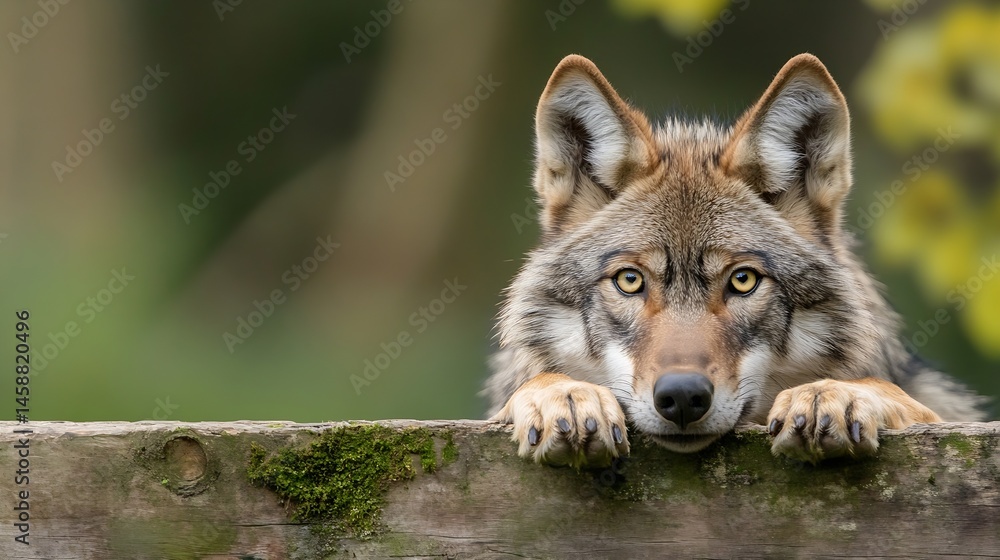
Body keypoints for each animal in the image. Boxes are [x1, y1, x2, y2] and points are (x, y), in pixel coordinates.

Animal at [486, 53, 986, 466]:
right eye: (629, 280)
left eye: (743, 280)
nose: (682, 397)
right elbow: (529, 387)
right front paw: (563, 396)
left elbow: (894, 392)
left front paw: (832, 394)